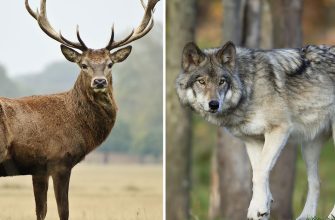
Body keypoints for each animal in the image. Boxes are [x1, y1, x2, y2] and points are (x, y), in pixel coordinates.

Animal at [0, 0, 160, 219]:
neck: (76, 122)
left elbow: (41, 211)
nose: (99, 81)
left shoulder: (39, 169)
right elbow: (63, 211)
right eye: (83, 65)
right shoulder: (59, 160)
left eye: (110, 64)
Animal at [176, 41, 335, 220]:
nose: (214, 104)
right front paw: (263, 207)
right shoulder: (253, 141)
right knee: (315, 182)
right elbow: (258, 172)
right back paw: (305, 216)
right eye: (201, 81)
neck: (249, 87)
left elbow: (260, 172)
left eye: (221, 81)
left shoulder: (279, 130)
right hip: (309, 148)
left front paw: (257, 208)